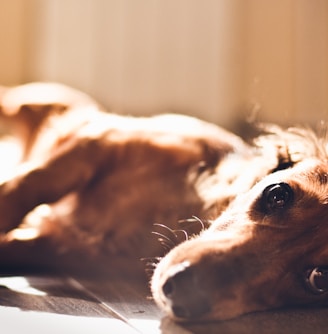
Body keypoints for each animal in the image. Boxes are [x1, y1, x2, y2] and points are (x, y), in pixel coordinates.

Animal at [0, 82, 328, 322]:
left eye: (319, 278)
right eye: (277, 194)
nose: (181, 292)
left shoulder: (57, 245)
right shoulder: (95, 143)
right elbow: (26, 187)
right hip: (25, 103)